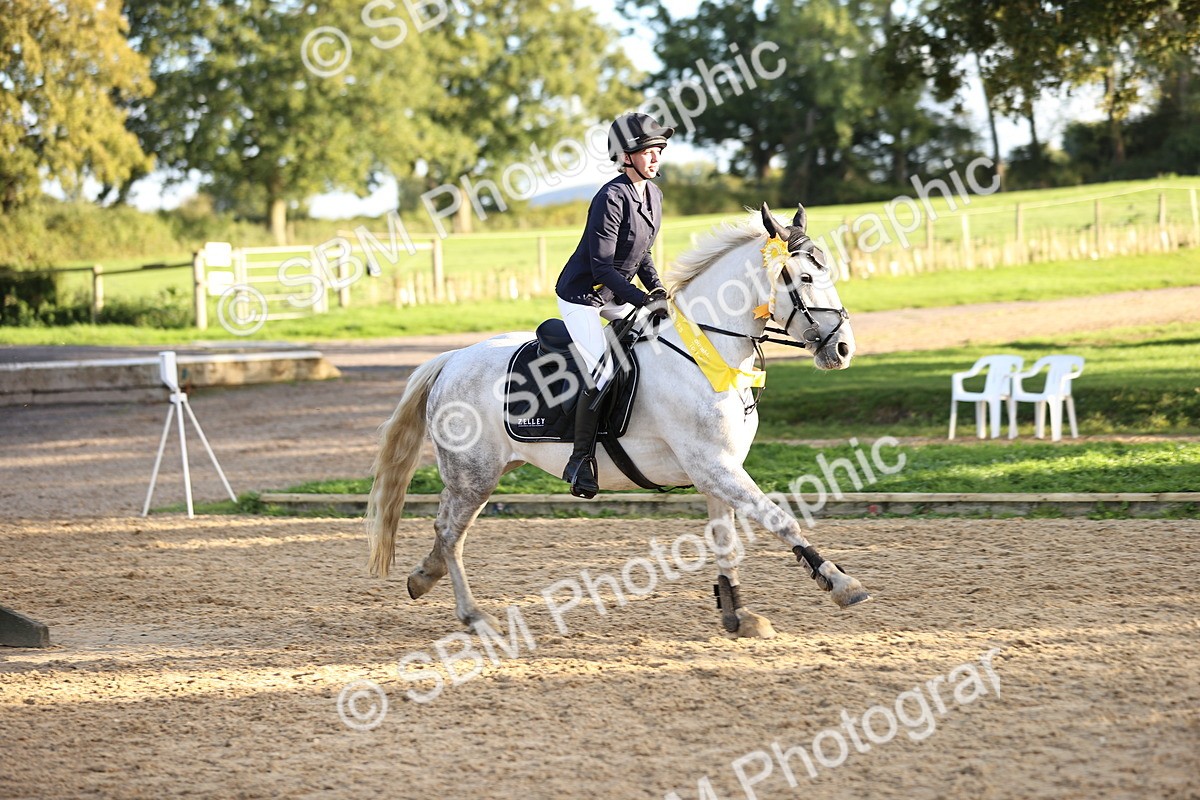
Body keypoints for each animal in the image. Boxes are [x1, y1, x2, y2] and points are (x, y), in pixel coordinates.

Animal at [365, 203, 872, 638]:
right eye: (804, 276)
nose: (843, 348)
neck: (708, 353)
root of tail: (452, 359)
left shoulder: (718, 471)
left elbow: (726, 540)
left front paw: (736, 614)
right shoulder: (715, 467)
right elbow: (781, 521)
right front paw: (840, 584)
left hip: (483, 472)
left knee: (446, 531)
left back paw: (422, 577)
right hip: (474, 475)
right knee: (451, 534)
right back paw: (474, 617)